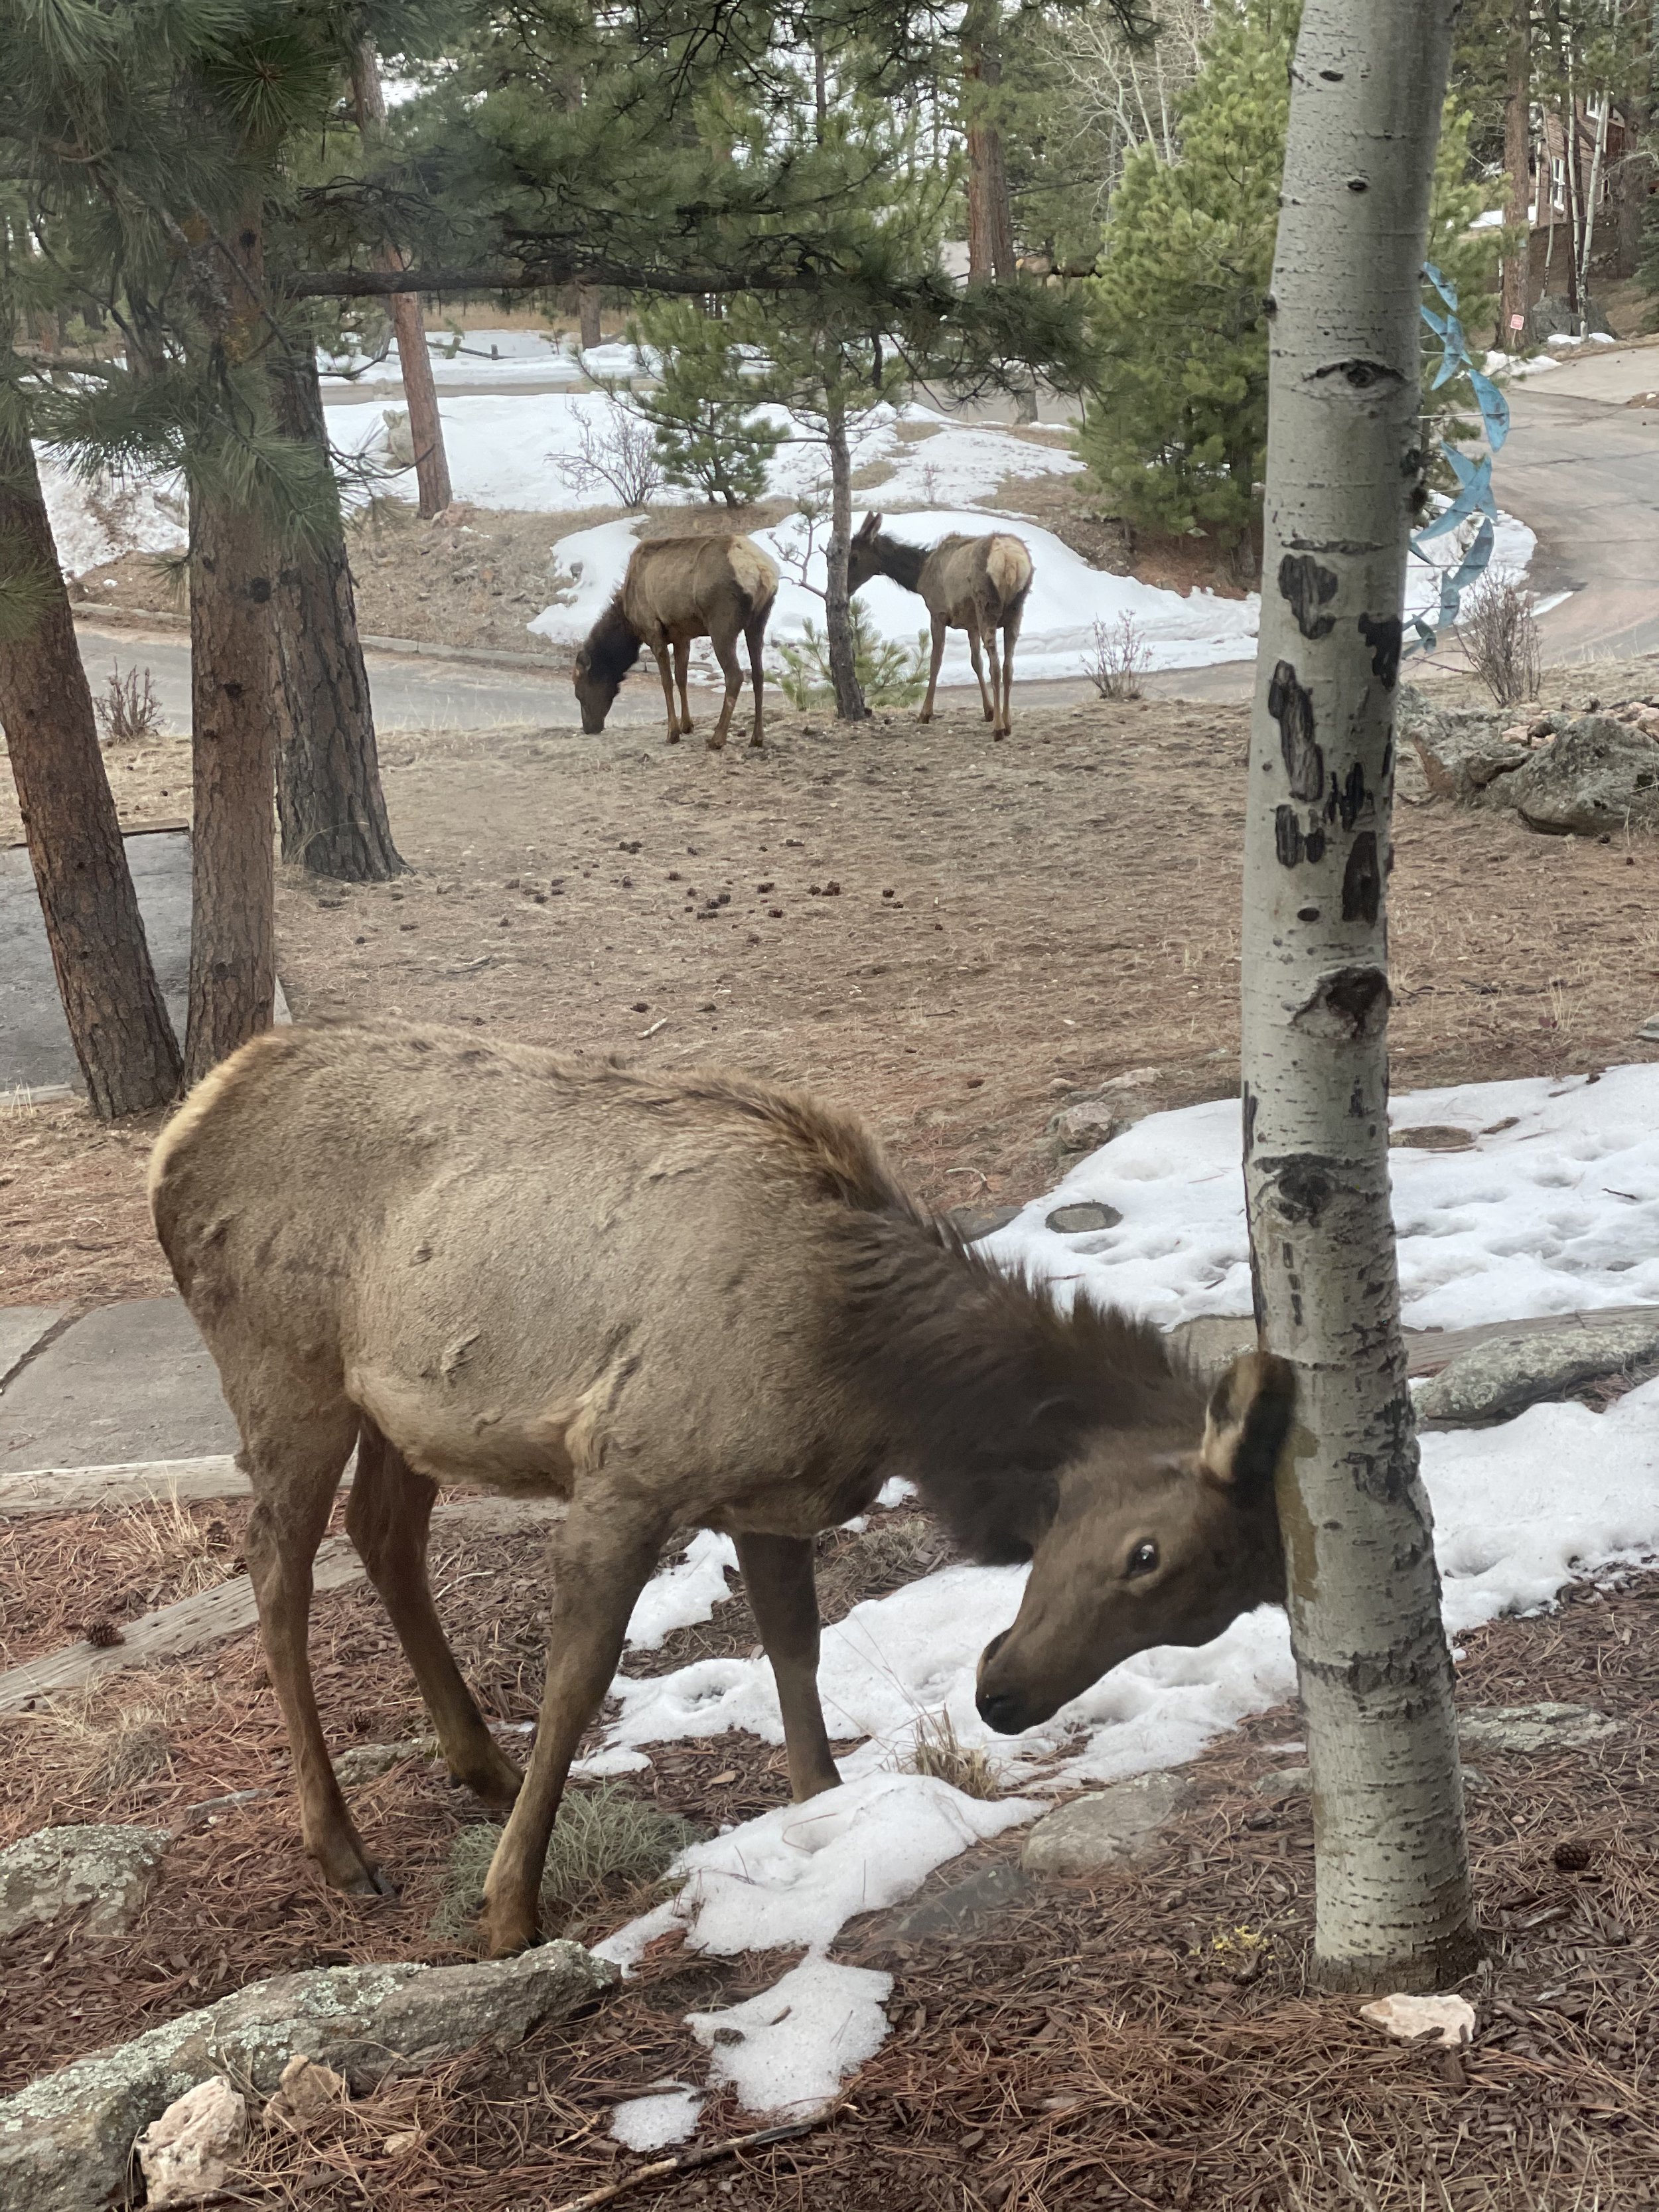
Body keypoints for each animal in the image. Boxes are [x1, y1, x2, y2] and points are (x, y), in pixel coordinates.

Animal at [148, 1022, 1295, 1959]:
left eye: (1211, 1611)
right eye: (1148, 1550)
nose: (1003, 1695)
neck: (872, 1380)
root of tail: (177, 1135)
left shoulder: (770, 1497)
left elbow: (796, 1647)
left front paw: (821, 1809)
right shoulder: (628, 1469)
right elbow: (579, 1683)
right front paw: (509, 1908)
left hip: (402, 1404)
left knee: (383, 1535)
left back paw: (480, 1765)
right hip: (285, 1371)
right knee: (276, 1566)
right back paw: (339, 1844)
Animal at [572, 533, 778, 750]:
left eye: (580, 693)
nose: (588, 728)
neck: (629, 621)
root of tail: (762, 571)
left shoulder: (653, 630)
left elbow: (666, 682)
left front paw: (673, 733)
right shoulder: (682, 637)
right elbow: (681, 677)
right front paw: (687, 725)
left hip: (721, 625)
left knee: (735, 676)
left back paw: (717, 738)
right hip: (758, 621)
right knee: (759, 673)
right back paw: (757, 737)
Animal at [847, 511, 1035, 738]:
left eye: (854, 556)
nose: (845, 587)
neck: (919, 577)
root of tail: (1010, 560)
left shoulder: (938, 613)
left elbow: (935, 662)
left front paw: (925, 713)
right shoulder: (971, 624)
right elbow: (976, 663)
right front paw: (988, 710)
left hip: (987, 606)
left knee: (996, 667)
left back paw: (998, 729)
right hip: (1016, 611)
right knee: (1008, 667)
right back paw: (1007, 724)